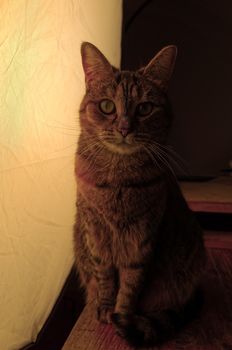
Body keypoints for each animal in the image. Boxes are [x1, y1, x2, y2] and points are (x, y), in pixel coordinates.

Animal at [73, 42, 206, 346]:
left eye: (145, 108)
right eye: (107, 106)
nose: (124, 128)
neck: (117, 178)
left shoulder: (142, 237)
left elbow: (130, 285)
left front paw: (121, 315)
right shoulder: (95, 232)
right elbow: (104, 275)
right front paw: (105, 308)